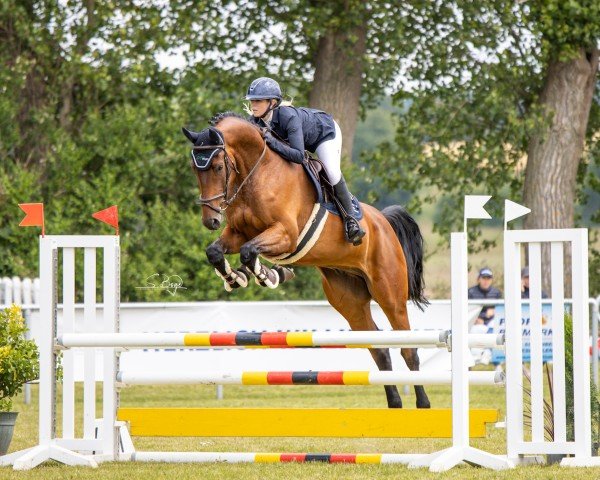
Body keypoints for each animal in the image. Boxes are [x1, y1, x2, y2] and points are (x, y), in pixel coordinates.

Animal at [183, 112, 432, 408]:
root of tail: (383, 221)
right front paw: (237, 277)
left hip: (389, 293)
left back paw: (422, 404)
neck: (258, 172)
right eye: (195, 169)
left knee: (408, 348)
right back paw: (395, 404)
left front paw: (267, 275)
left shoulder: (285, 234)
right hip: (349, 300)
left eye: (219, 167)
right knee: (378, 349)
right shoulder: (238, 232)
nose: (210, 220)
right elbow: (217, 251)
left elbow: (248, 251)